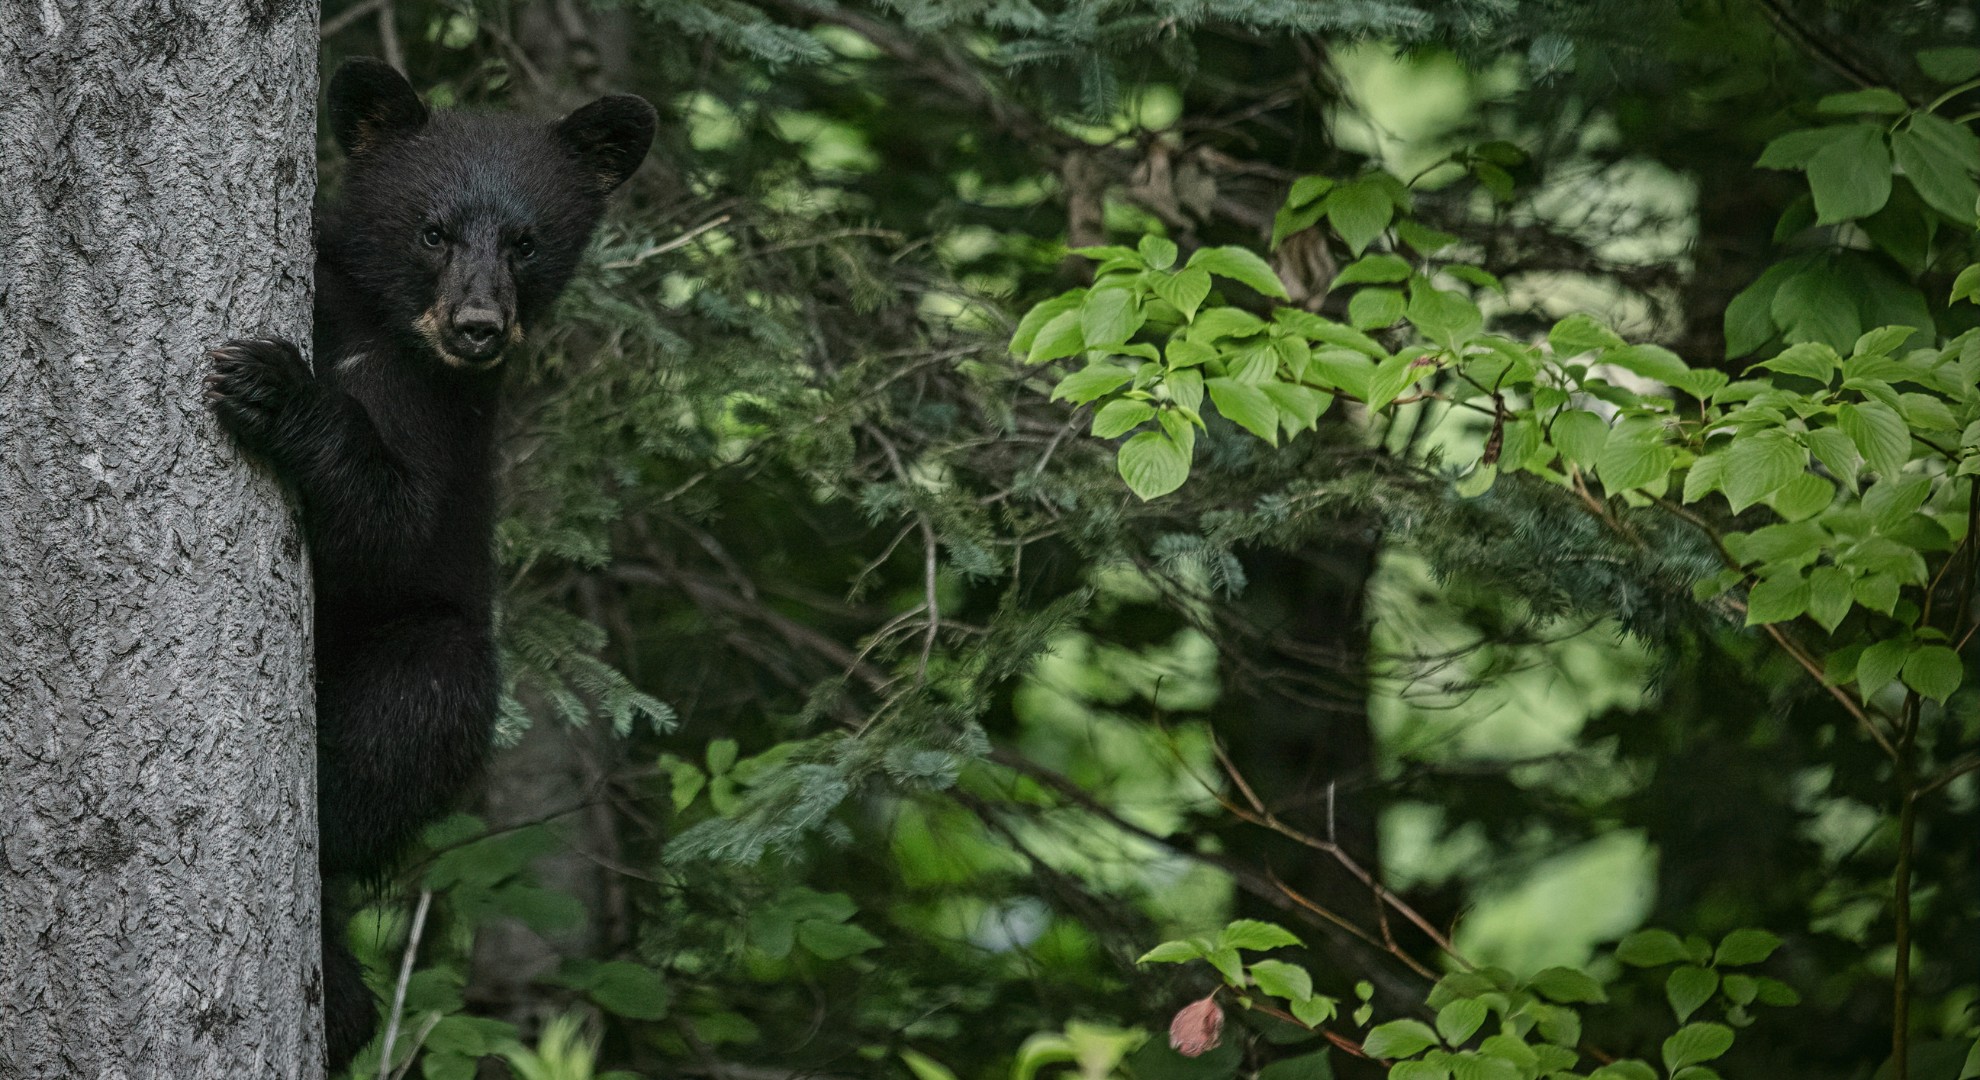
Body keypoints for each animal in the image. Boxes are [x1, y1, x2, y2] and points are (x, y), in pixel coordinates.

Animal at [206, 58, 657, 1070]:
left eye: (527, 242)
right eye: (432, 229)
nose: (479, 326)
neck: (376, 329)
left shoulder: (446, 422)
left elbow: (390, 525)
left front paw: (272, 386)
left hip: (421, 655)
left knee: (418, 704)